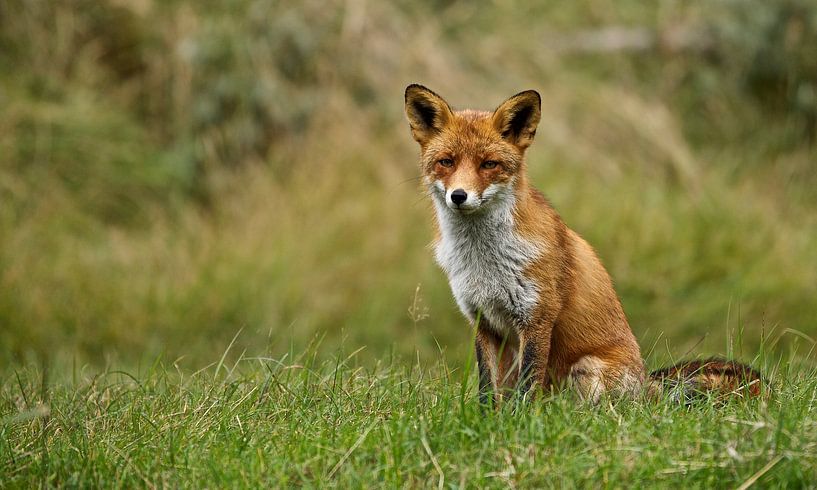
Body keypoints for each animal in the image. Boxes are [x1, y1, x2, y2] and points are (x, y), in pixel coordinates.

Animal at [404, 84, 764, 404]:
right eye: (447, 162)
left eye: (488, 164)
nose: (459, 196)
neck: (484, 261)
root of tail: (647, 384)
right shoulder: (483, 321)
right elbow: (486, 390)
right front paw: (488, 422)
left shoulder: (537, 318)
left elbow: (527, 389)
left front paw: (520, 423)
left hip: (587, 370)